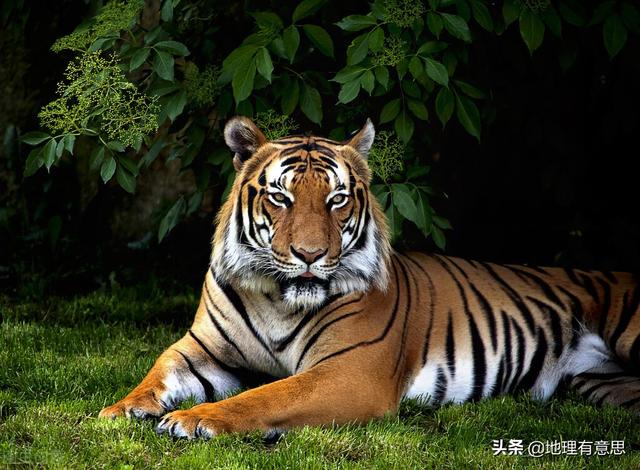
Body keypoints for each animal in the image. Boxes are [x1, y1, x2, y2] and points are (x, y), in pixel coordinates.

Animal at [99, 116, 640, 439]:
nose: (310, 255)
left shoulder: (350, 372)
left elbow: (264, 395)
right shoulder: (201, 348)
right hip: (605, 386)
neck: (277, 299)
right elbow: (159, 370)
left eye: (337, 199)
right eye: (281, 197)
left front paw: (194, 420)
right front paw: (122, 409)